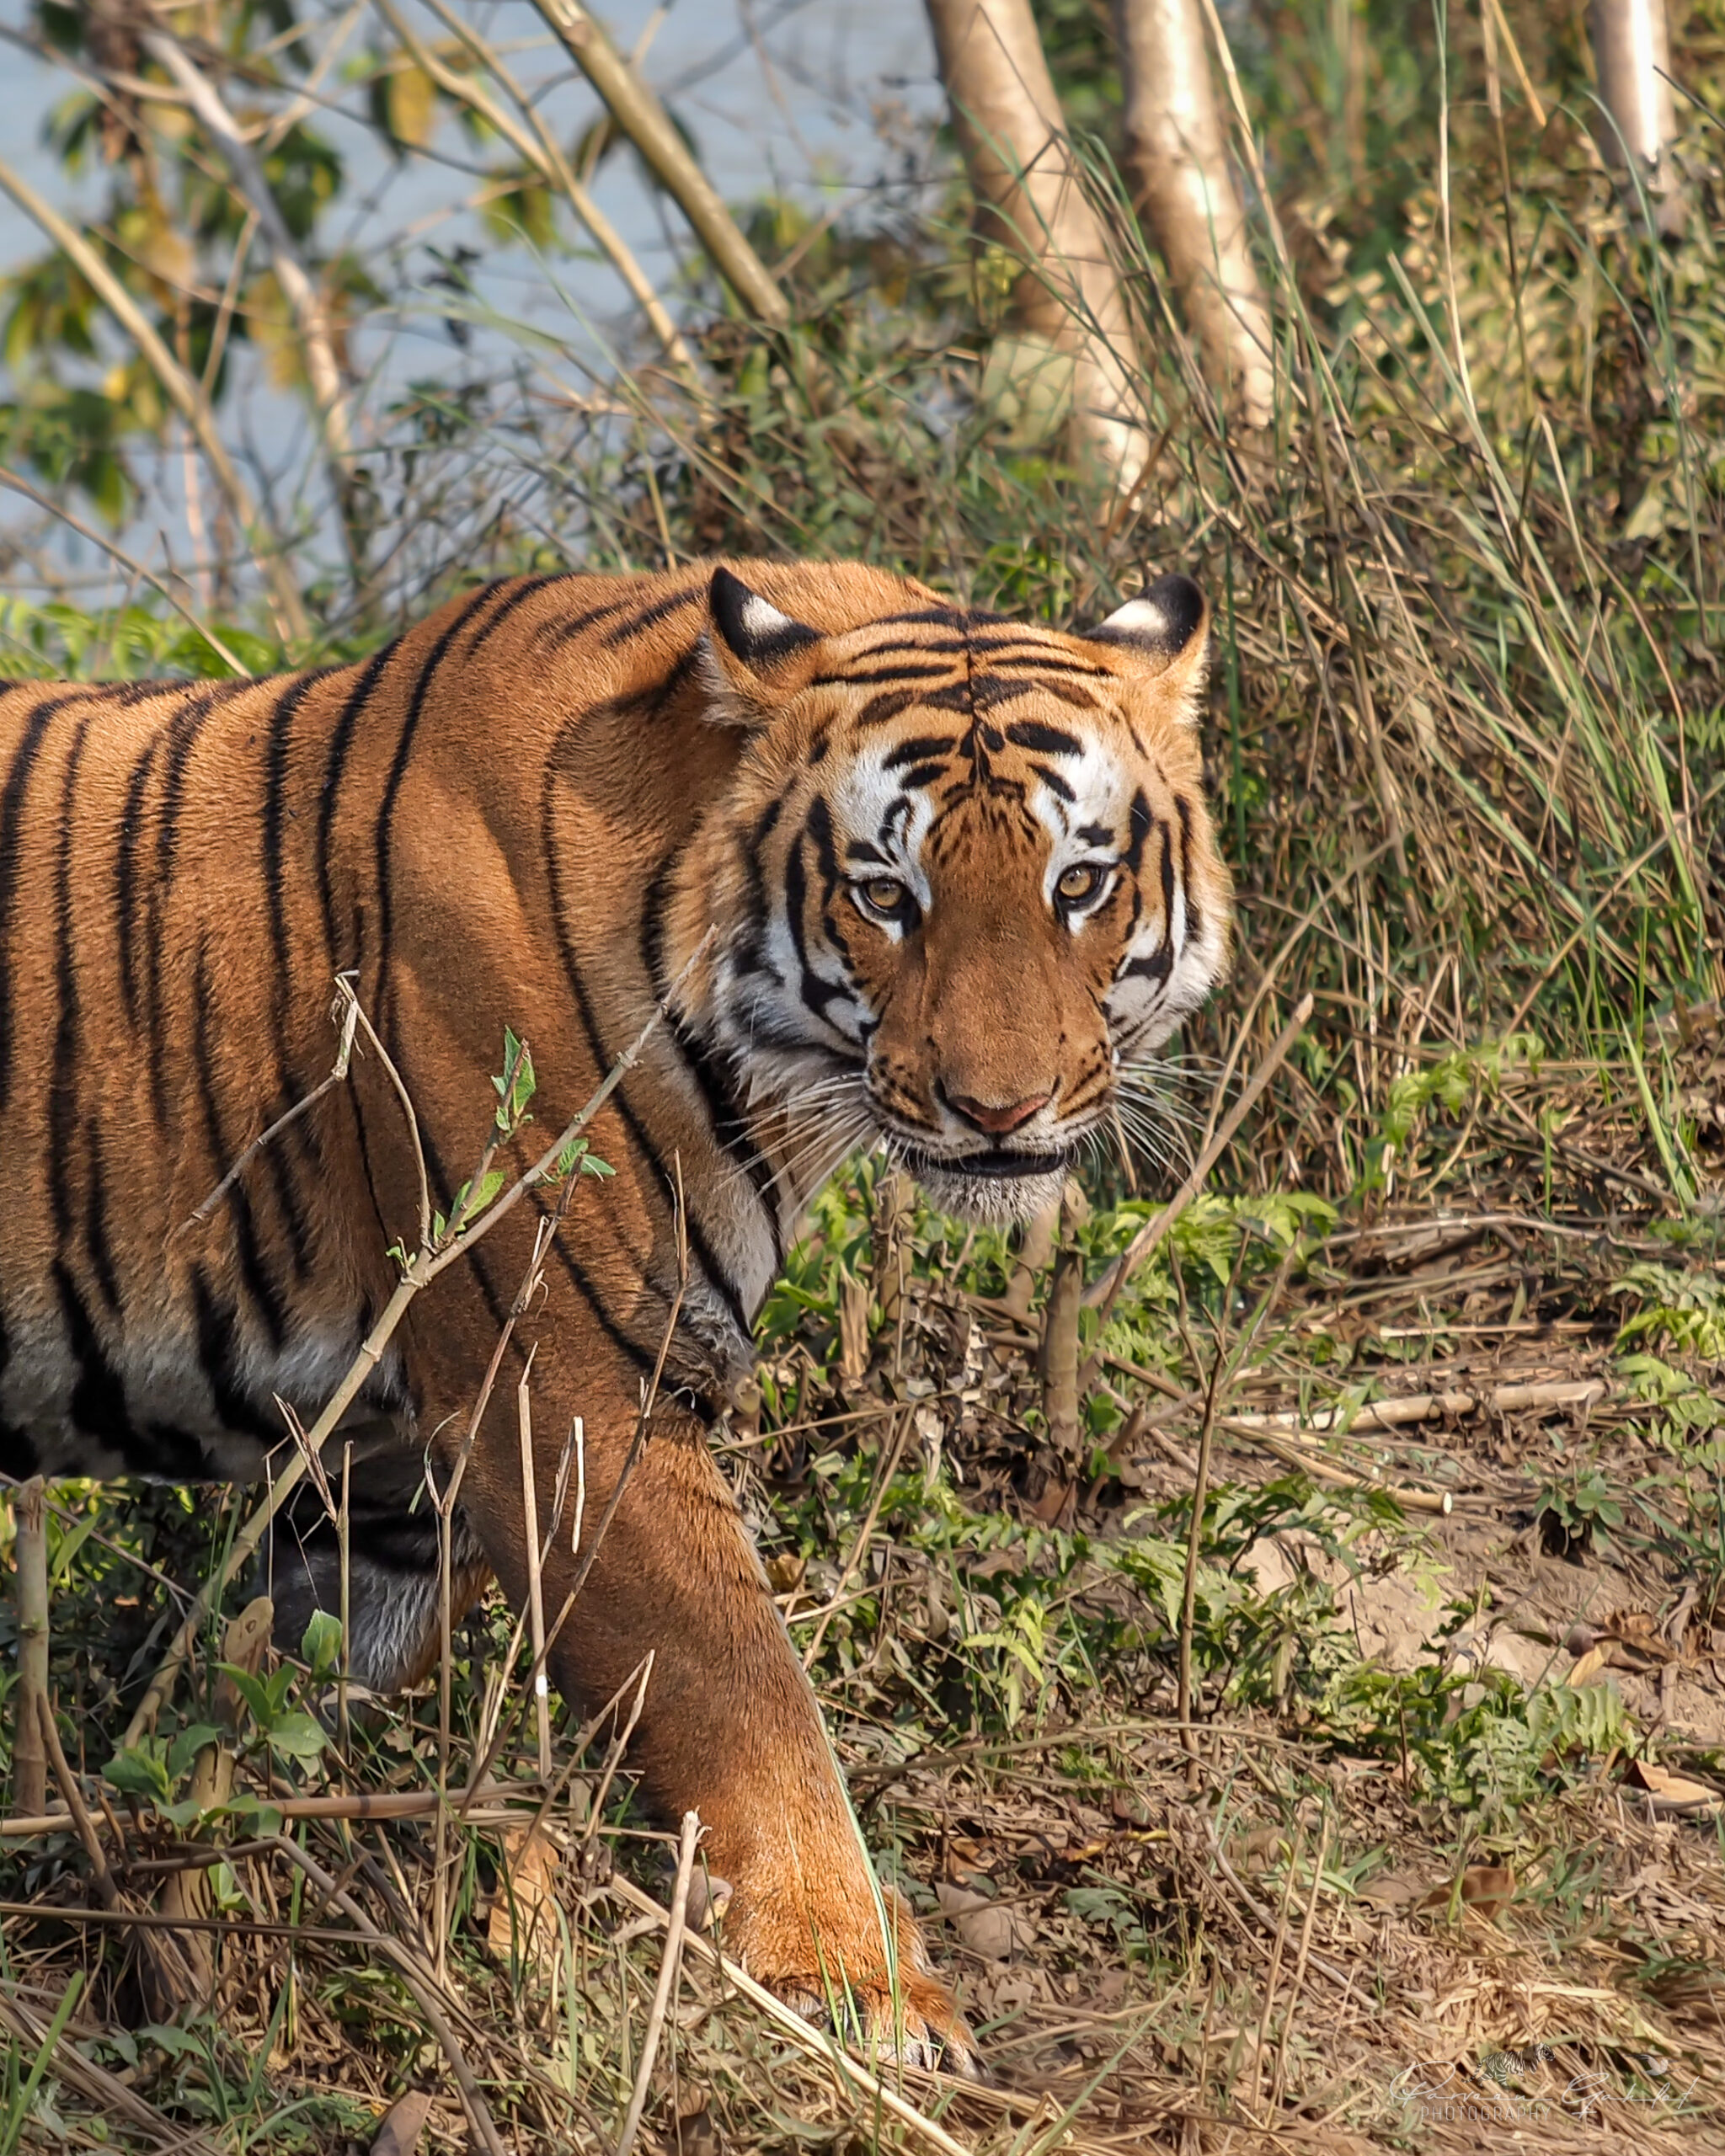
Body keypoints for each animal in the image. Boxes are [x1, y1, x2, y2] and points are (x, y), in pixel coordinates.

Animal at [0, 558, 1232, 2068]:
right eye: (886, 894)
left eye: (1080, 884)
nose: (998, 1110)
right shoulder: (566, 1397)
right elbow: (745, 1692)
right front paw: (859, 1987)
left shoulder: (396, 1474)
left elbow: (252, 1694)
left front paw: (178, 1921)